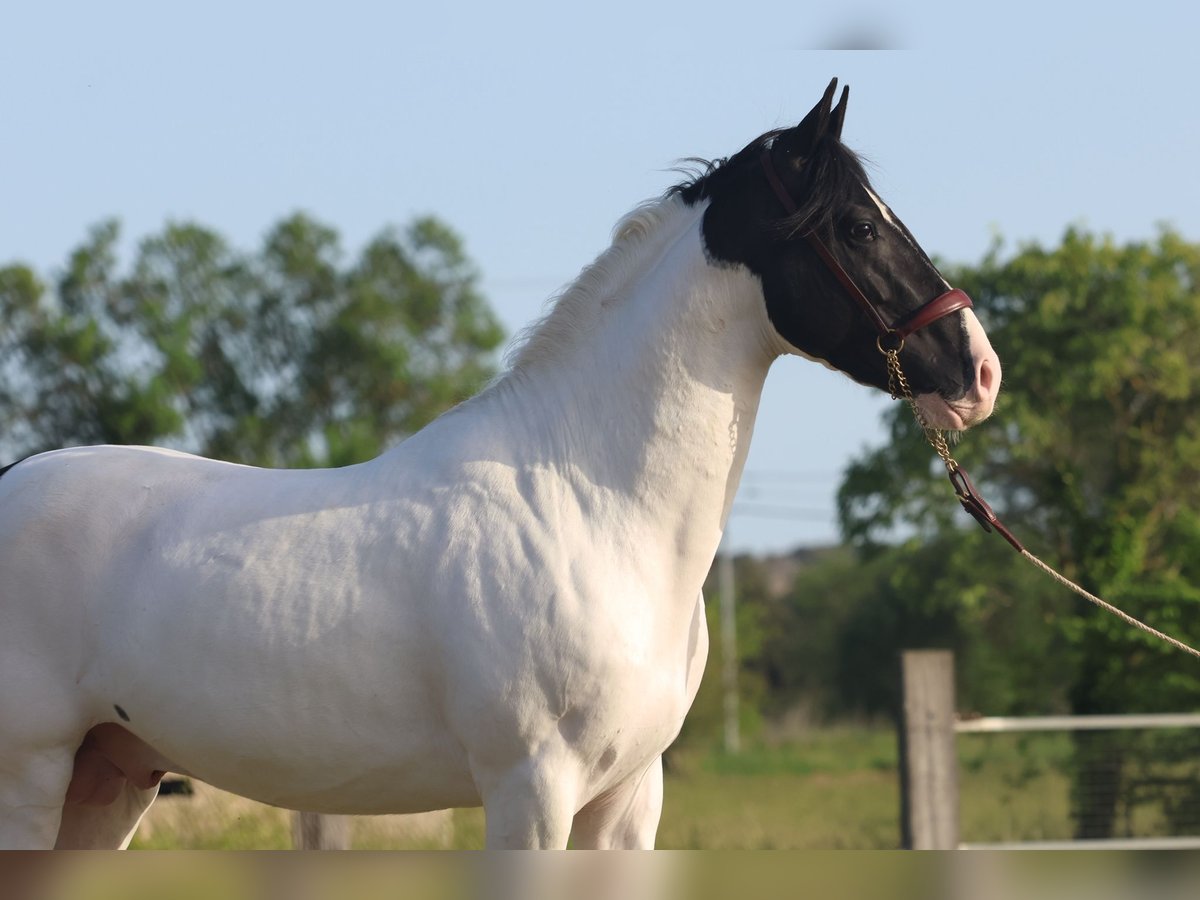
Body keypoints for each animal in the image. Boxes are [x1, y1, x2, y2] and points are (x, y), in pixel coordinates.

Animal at [0, 79, 1000, 849]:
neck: (594, 505)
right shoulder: (532, 793)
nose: (978, 370)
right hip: (34, 774)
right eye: (860, 228)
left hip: (111, 777)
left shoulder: (627, 804)